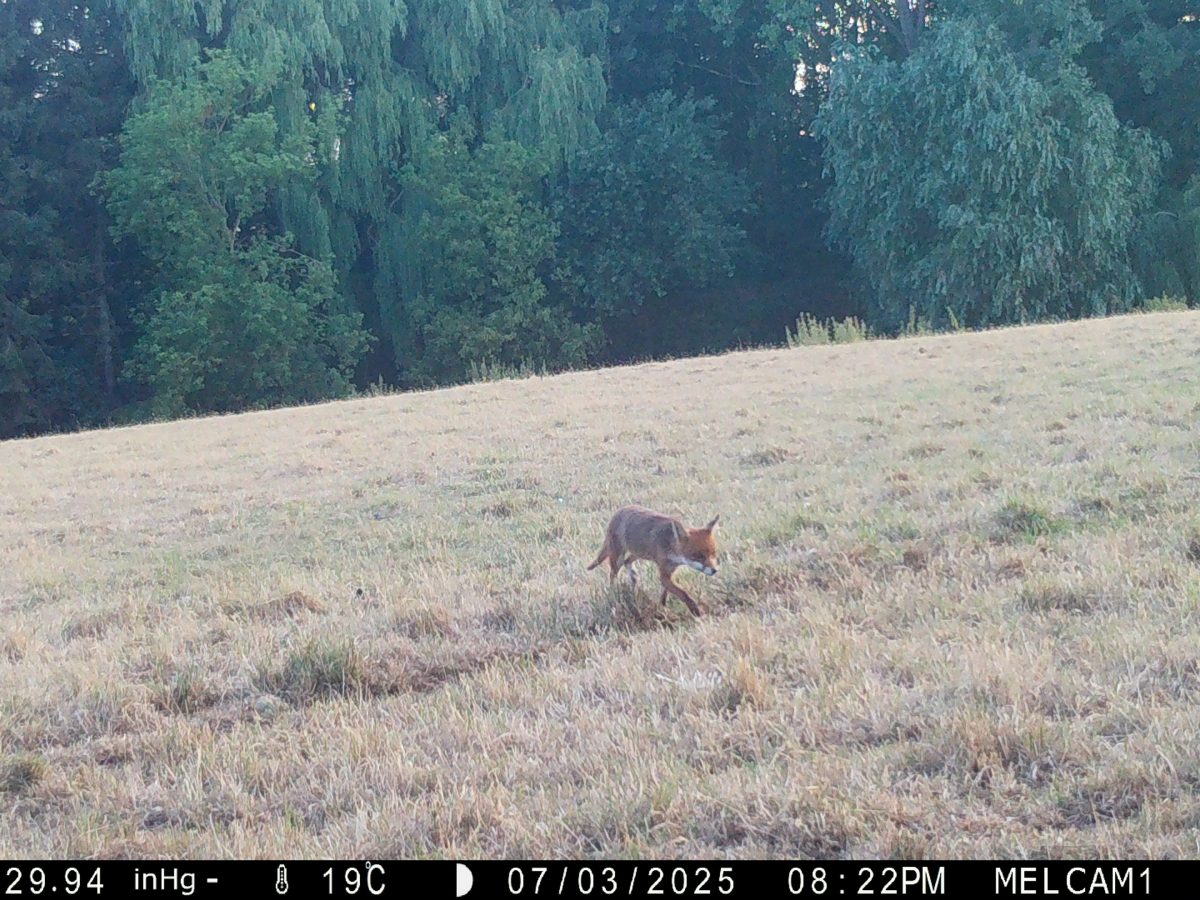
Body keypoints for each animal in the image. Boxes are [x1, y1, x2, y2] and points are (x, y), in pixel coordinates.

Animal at [586, 505, 719, 617]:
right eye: (699, 556)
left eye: (713, 554)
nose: (715, 570)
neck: (672, 550)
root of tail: (620, 510)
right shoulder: (664, 573)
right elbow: (683, 593)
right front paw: (696, 611)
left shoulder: (670, 571)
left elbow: (666, 592)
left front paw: (662, 605)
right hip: (618, 558)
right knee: (612, 576)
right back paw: (613, 595)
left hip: (639, 553)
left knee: (627, 562)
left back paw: (633, 580)